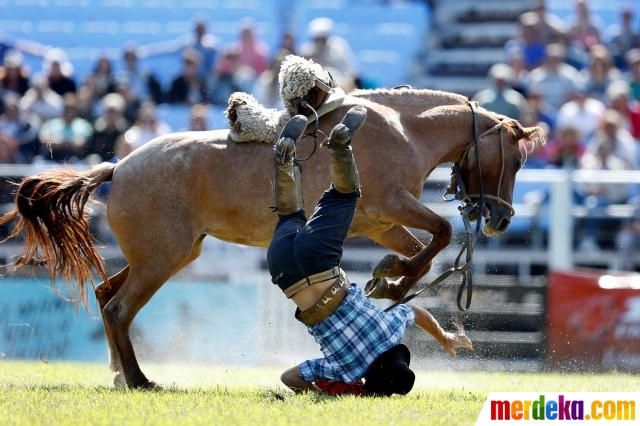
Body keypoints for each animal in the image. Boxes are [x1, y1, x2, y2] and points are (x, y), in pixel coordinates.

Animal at [0, 88, 544, 388]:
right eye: (514, 160)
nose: (501, 220)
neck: (403, 128)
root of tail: (119, 166)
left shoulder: (380, 223)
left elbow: (423, 256)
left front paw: (392, 282)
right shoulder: (389, 206)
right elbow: (444, 232)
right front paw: (393, 280)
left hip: (165, 255)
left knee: (105, 294)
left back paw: (118, 371)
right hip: (161, 261)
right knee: (117, 309)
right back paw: (138, 379)